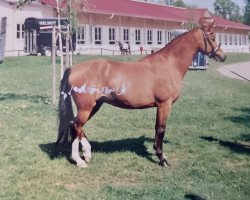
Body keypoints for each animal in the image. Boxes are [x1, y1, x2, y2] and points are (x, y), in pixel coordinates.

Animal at [56, 19, 227, 168]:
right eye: (212, 37)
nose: (223, 56)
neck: (169, 64)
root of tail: (74, 68)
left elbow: (157, 128)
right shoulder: (164, 105)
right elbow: (161, 129)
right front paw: (162, 158)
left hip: (95, 105)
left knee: (76, 126)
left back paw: (87, 153)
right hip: (86, 107)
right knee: (76, 126)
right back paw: (79, 160)